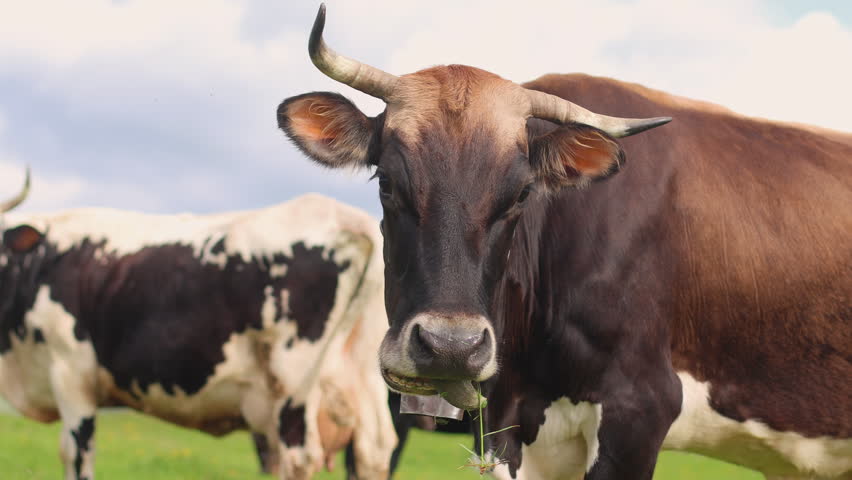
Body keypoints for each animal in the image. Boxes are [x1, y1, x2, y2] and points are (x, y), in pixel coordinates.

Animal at [0, 171, 397, 480]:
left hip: (294, 378)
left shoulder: (70, 371)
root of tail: (350, 219)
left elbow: (76, 452)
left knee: (298, 457)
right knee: (375, 450)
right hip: (359, 376)